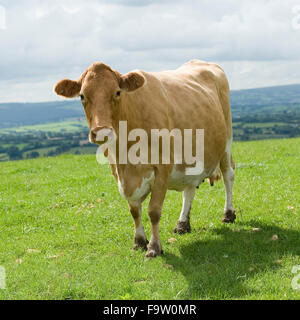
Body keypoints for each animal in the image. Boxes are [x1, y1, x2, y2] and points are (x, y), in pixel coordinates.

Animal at [54, 60, 237, 258]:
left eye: (117, 92)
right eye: (82, 96)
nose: (102, 132)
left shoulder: (163, 167)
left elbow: (154, 211)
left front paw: (154, 247)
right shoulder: (118, 173)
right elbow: (134, 211)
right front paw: (139, 241)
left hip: (226, 141)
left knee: (228, 176)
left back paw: (228, 214)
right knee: (189, 189)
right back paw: (182, 224)